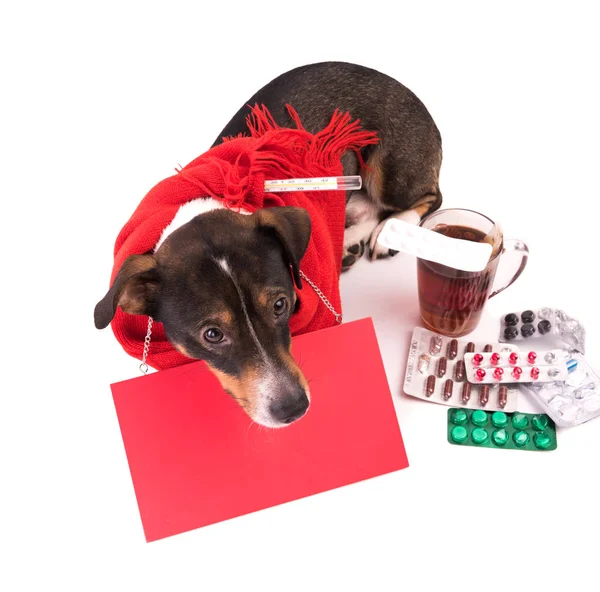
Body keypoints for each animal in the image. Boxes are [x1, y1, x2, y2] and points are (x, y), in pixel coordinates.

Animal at [94, 62, 440, 428]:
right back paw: (349, 243)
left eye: (280, 305)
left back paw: (392, 230)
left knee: (426, 197)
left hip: (390, 173)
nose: (294, 409)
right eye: (212, 334)